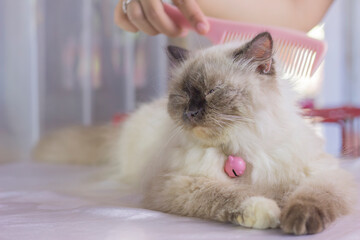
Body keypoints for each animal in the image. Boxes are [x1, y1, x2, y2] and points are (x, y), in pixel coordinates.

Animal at [32, 31, 356, 234]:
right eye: (184, 95)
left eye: (212, 91)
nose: (190, 113)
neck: (241, 144)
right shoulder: (178, 184)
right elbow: (231, 195)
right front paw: (268, 210)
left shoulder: (325, 174)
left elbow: (312, 197)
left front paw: (297, 219)